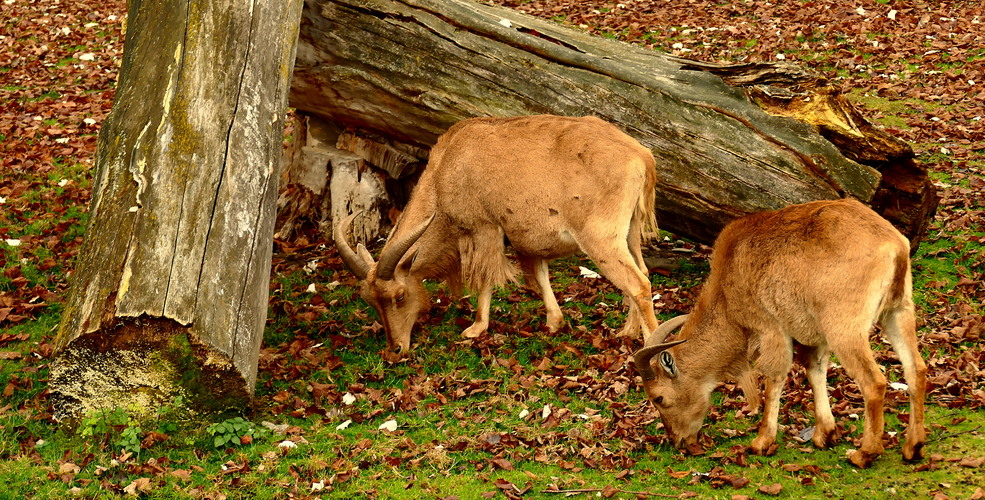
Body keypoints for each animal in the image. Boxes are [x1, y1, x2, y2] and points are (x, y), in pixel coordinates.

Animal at [336, 114, 660, 354]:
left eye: (400, 296)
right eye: (370, 300)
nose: (395, 351)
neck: (446, 170)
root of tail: (641, 157)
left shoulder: (484, 229)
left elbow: (485, 279)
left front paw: (475, 328)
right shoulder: (524, 238)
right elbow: (539, 275)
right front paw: (554, 322)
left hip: (600, 238)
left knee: (638, 283)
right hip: (629, 232)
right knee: (642, 272)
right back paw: (628, 331)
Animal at [636, 198, 928, 468]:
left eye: (659, 397)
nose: (678, 441)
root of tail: (894, 245)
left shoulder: (770, 328)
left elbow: (774, 378)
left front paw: (762, 442)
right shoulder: (814, 335)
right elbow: (814, 370)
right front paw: (825, 434)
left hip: (845, 328)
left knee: (874, 382)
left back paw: (864, 453)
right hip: (898, 311)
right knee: (916, 368)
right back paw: (913, 447)